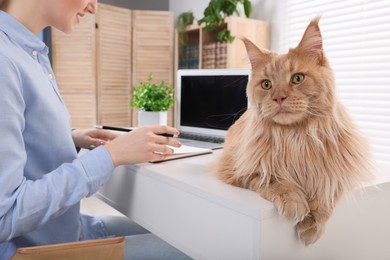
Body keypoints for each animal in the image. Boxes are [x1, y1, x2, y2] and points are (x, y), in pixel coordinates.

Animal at [216, 17, 374, 245]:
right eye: (266, 84)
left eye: (297, 78)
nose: (279, 97)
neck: (295, 137)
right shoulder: (236, 168)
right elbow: (269, 178)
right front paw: (294, 201)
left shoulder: (343, 167)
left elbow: (327, 186)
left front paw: (312, 222)